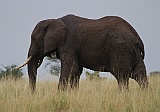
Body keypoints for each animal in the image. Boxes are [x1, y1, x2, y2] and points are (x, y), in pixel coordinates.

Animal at [16, 14, 148, 91]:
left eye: (33, 38)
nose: (33, 93)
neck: (55, 20)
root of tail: (137, 38)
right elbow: (76, 71)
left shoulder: (68, 43)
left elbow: (70, 68)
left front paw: (60, 94)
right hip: (133, 52)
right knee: (140, 75)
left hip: (120, 50)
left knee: (121, 76)